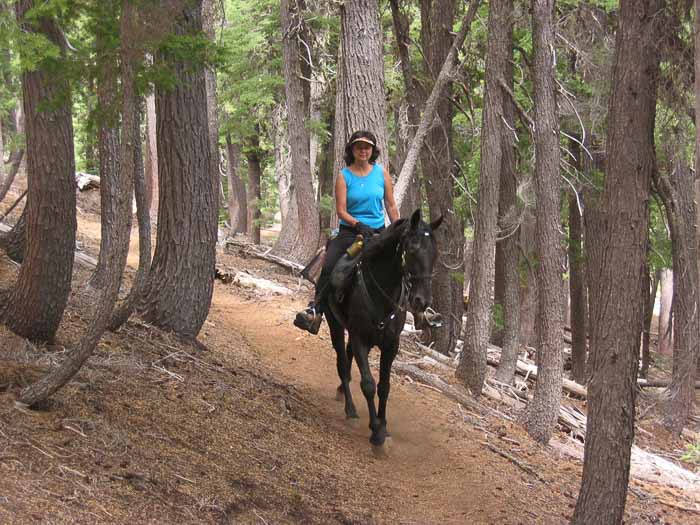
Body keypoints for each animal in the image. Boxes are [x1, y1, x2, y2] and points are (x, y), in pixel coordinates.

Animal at [326, 208, 440, 446]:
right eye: (411, 249)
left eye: (435, 254)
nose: (422, 301)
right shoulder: (360, 338)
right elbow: (368, 384)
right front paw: (376, 432)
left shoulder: (391, 344)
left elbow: (385, 386)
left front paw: (384, 425)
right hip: (336, 325)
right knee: (343, 364)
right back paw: (350, 408)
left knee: (348, 359)